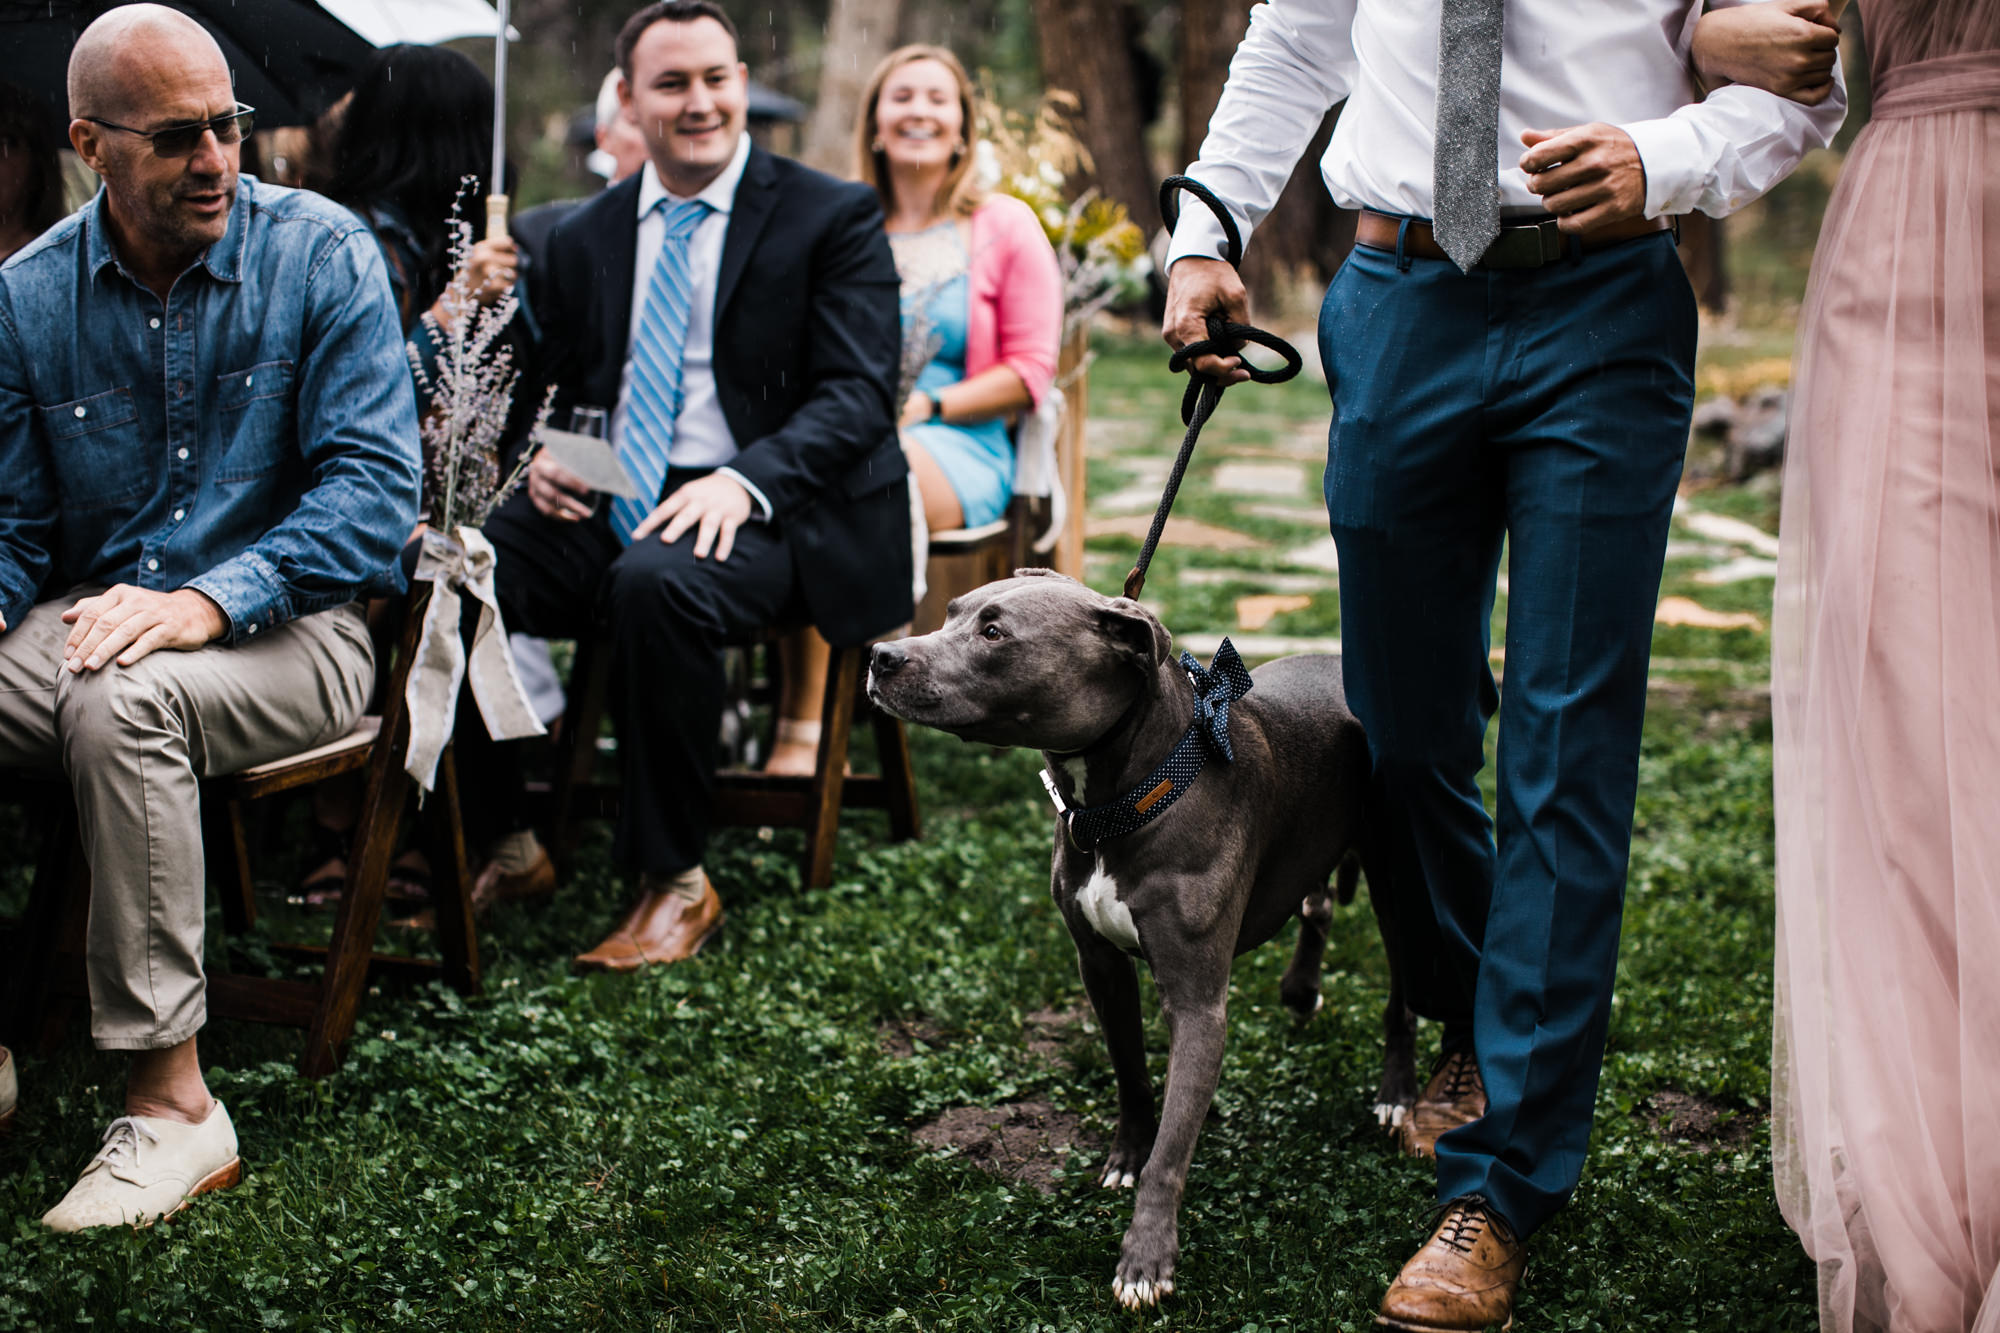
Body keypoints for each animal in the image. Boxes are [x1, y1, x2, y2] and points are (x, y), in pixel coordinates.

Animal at [868, 568, 1416, 1296]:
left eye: (994, 632)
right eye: (950, 611)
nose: (879, 654)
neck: (1125, 794)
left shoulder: (1198, 1006)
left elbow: (1174, 1146)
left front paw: (1146, 1255)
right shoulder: (1099, 964)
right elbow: (1130, 1070)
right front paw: (1125, 1156)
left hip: (1396, 881)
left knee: (1402, 990)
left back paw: (1397, 1095)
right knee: (1317, 906)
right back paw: (1301, 989)